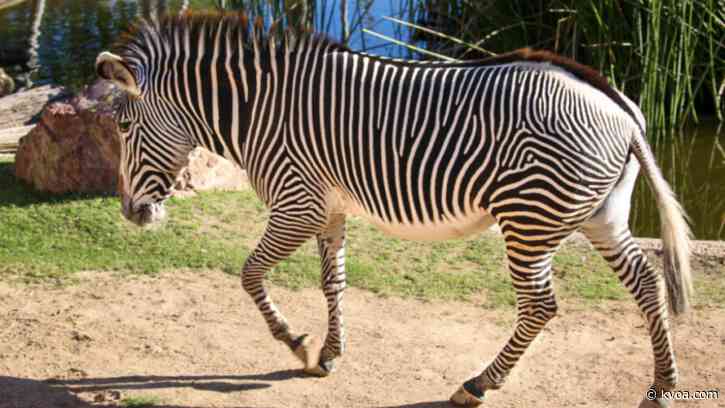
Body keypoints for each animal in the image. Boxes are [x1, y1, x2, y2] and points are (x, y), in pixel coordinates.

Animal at [95, 12, 692, 407]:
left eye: (123, 127)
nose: (130, 214)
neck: (258, 109)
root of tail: (623, 109)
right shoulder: (329, 209)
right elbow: (332, 283)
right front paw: (328, 354)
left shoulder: (297, 204)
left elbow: (249, 274)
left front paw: (295, 342)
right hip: (601, 214)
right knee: (646, 283)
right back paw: (663, 386)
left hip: (528, 218)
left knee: (541, 305)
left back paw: (478, 384)